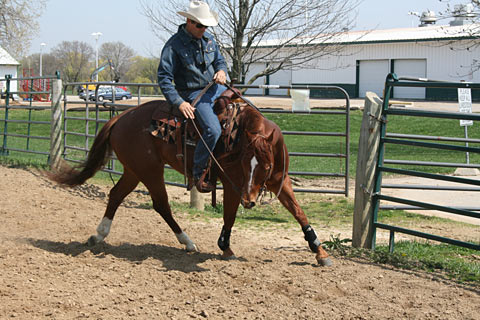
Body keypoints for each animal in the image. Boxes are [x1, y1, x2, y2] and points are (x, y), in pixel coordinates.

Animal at [48, 89, 332, 266]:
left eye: (266, 165)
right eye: (244, 162)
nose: (250, 201)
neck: (238, 135)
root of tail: (121, 117)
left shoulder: (279, 182)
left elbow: (299, 213)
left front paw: (319, 251)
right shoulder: (233, 184)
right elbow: (229, 215)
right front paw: (225, 247)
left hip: (134, 170)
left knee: (116, 194)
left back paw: (98, 235)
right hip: (150, 171)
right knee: (161, 205)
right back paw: (187, 242)